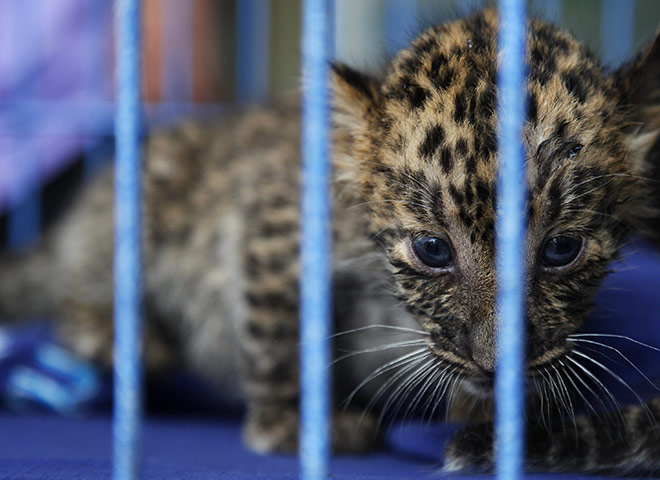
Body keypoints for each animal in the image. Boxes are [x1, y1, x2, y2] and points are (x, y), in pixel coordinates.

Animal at [1, 7, 660, 475]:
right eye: (432, 250)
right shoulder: (275, 228)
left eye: (561, 250)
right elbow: (278, 340)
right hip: (125, 209)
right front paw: (296, 424)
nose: (494, 364)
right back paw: (117, 334)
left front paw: (485, 412)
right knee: (73, 286)